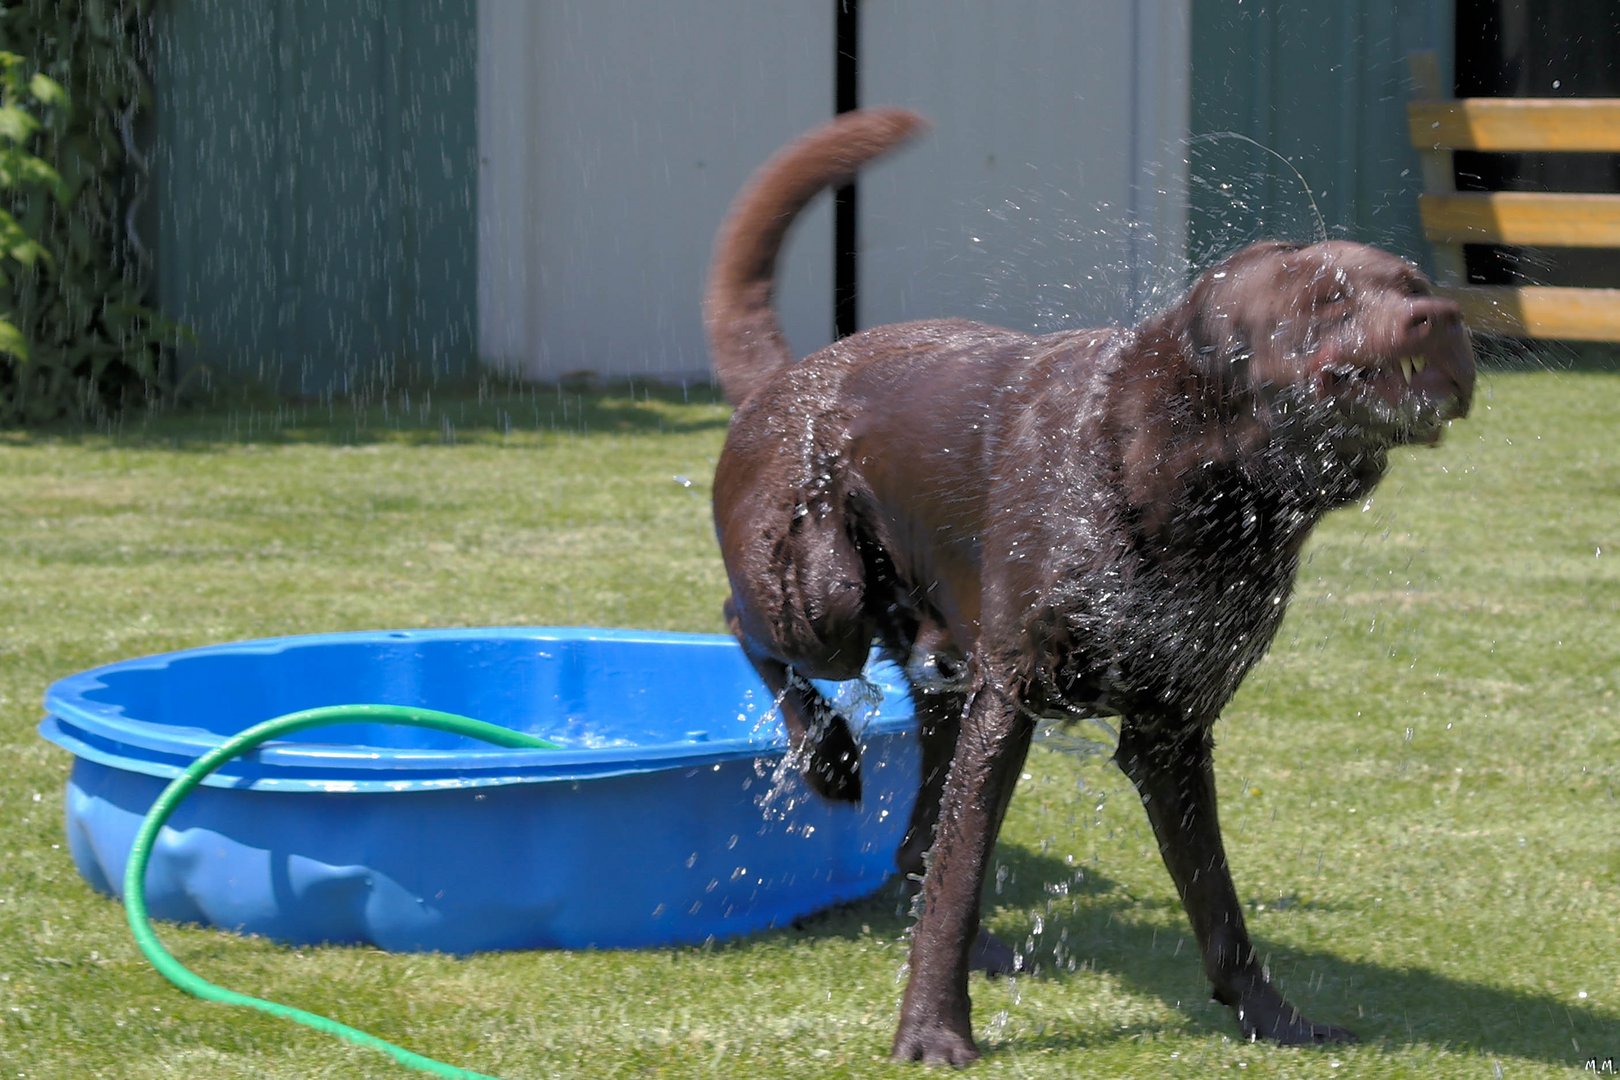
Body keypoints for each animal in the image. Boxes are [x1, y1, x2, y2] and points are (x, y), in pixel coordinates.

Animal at [703, 110, 1477, 1062]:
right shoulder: (1013, 694)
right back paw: (829, 756)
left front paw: (1273, 1019)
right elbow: (963, 880)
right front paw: (931, 1031)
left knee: (919, 831)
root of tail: (789, 375)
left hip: (937, 660)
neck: (1209, 482)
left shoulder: (1172, 732)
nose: (1440, 315)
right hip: (824, 598)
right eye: (1329, 297)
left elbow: (1219, 906)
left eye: (1413, 283)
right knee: (742, 620)